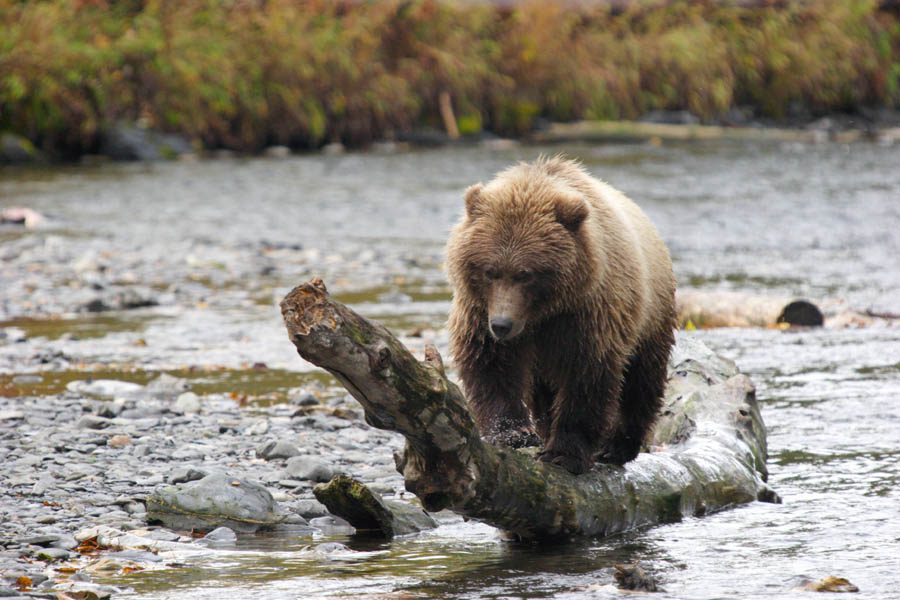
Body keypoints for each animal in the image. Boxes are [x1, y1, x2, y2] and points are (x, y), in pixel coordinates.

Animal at [445, 156, 676, 475]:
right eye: (489, 271)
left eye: (525, 274)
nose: (502, 325)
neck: (543, 313)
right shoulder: (479, 310)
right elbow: (491, 364)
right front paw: (512, 433)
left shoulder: (588, 312)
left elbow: (586, 375)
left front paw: (564, 453)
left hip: (651, 315)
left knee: (642, 378)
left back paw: (617, 446)